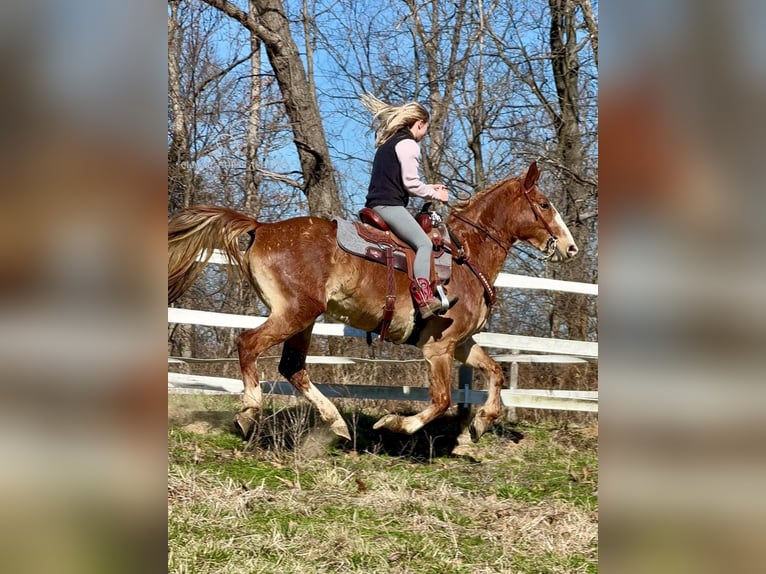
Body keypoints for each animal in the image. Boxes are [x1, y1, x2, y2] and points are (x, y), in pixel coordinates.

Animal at [168, 162, 576, 446]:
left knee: (293, 368)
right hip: (295, 313)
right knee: (248, 344)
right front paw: (394, 424)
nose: (570, 247)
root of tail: (263, 227)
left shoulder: (460, 345)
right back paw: (250, 412)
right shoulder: (438, 348)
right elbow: (442, 400)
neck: (466, 257)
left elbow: (495, 373)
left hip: (304, 319)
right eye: (544, 204)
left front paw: (475, 426)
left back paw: (336, 424)